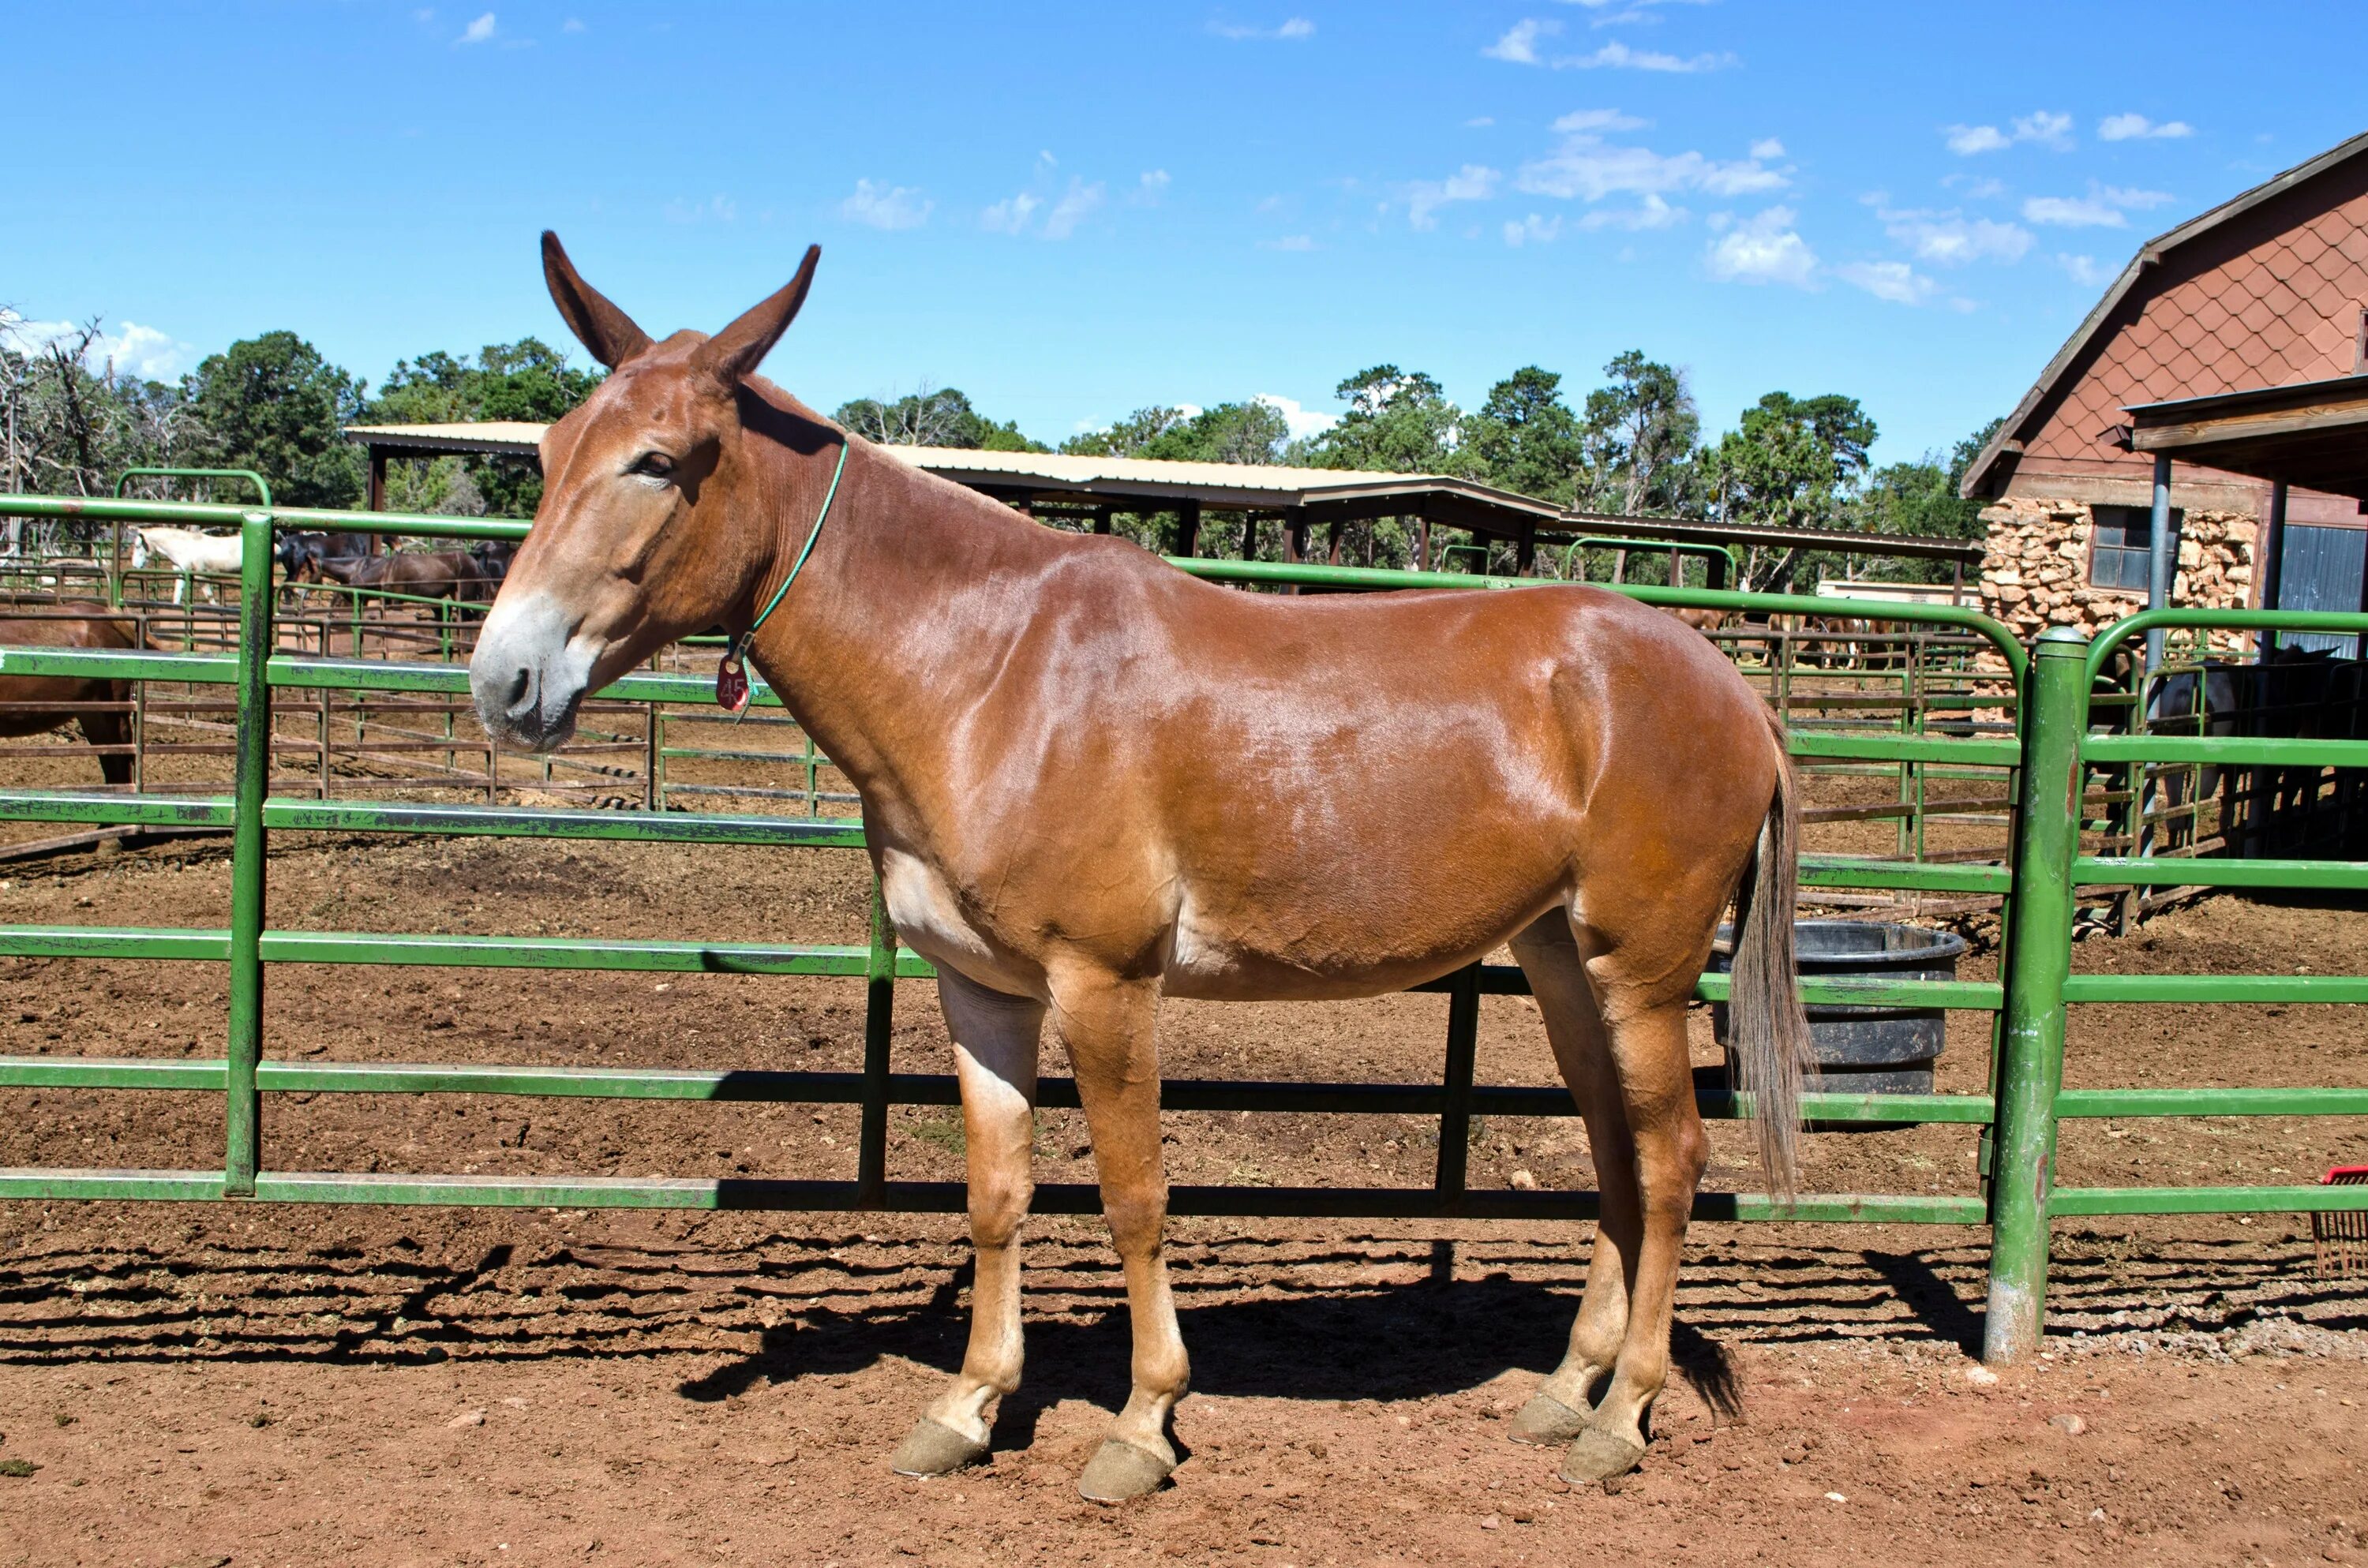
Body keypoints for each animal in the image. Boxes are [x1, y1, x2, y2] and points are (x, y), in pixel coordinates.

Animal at [128, 528, 246, 601]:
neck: (185, 547)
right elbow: (177, 596)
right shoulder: (182, 574)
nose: (135, 565)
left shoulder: (200, 576)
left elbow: (210, 598)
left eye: (138, 546)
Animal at [471, 237, 1819, 1515]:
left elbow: (1133, 1195)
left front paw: (1139, 1424)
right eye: (549, 451)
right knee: (1614, 1156)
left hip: (1642, 971)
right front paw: (966, 1409)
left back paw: (1620, 1415)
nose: (505, 682)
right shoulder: (981, 989)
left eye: (659, 460)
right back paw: (1563, 1389)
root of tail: (1730, 686)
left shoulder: (1106, 983)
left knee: (1672, 1161)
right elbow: (996, 1194)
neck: (989, 676)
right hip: (1560, 962)